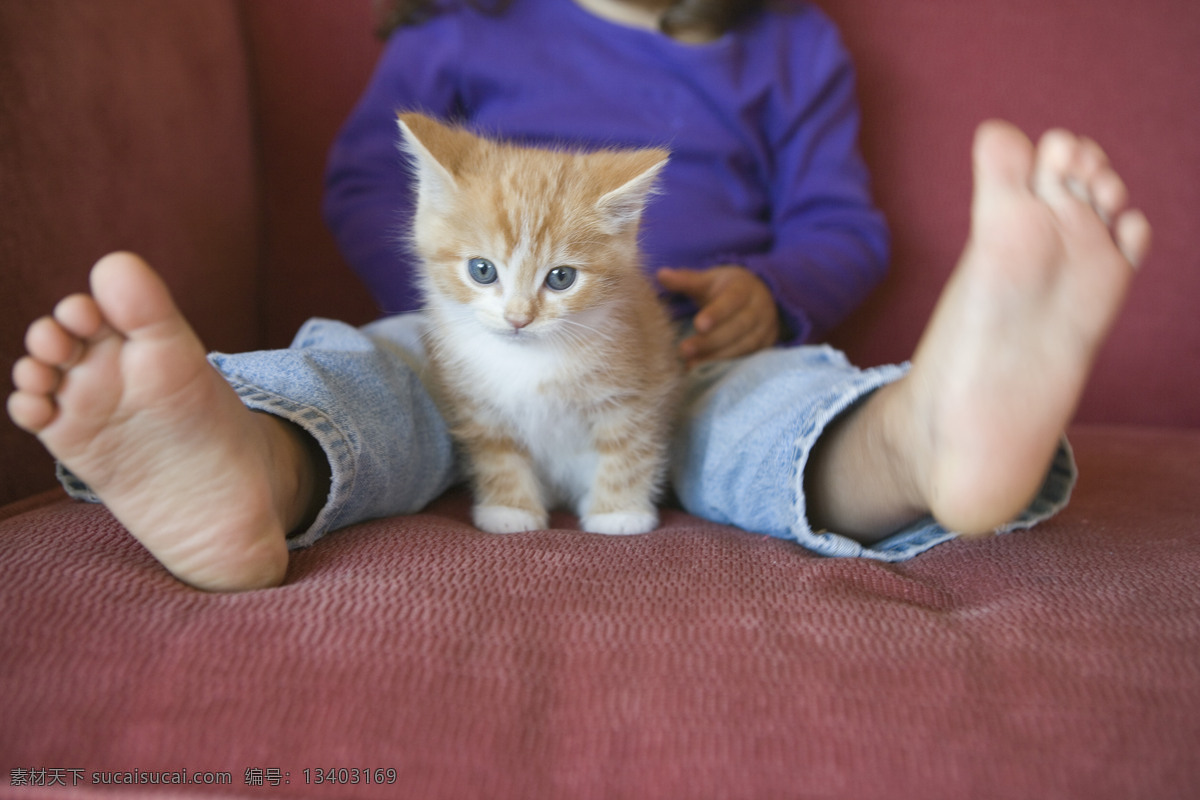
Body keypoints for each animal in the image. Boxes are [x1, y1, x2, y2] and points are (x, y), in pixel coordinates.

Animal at [398, 112, 681, 534]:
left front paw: (619, 513)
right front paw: (509, 510)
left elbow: (628, 448)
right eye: (482, 270)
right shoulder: (480, 405)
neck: (528, 360)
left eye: (561, 278)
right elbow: (499, 455)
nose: (518, 318)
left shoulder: (637, 389)